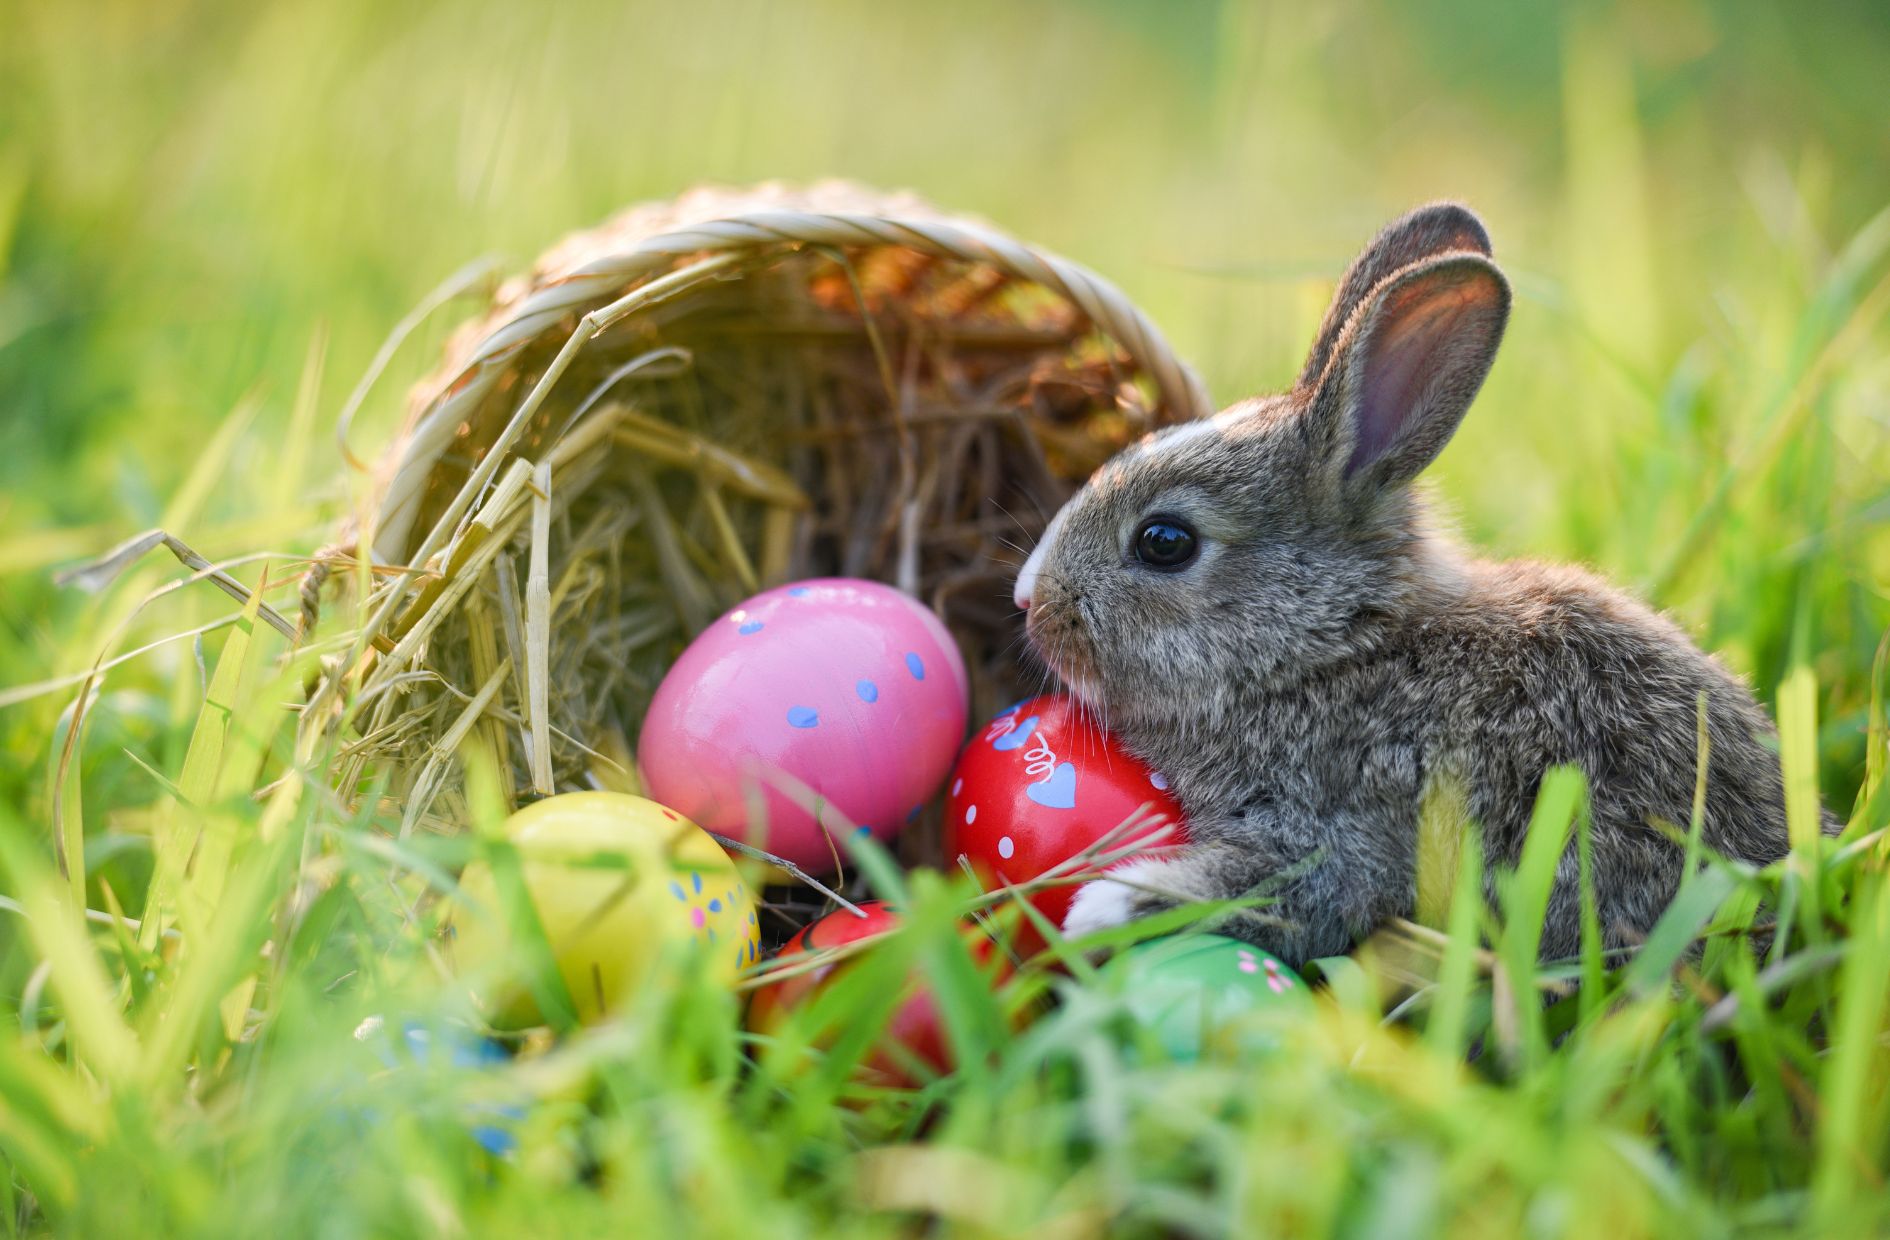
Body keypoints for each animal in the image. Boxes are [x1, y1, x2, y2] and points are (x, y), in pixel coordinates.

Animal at [1020, 203, 1829, 964]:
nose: (1030, 602)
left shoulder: (1341, 828)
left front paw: (1097, 911)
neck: (1335, 649)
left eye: (1165, 542)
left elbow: (1286, 890)